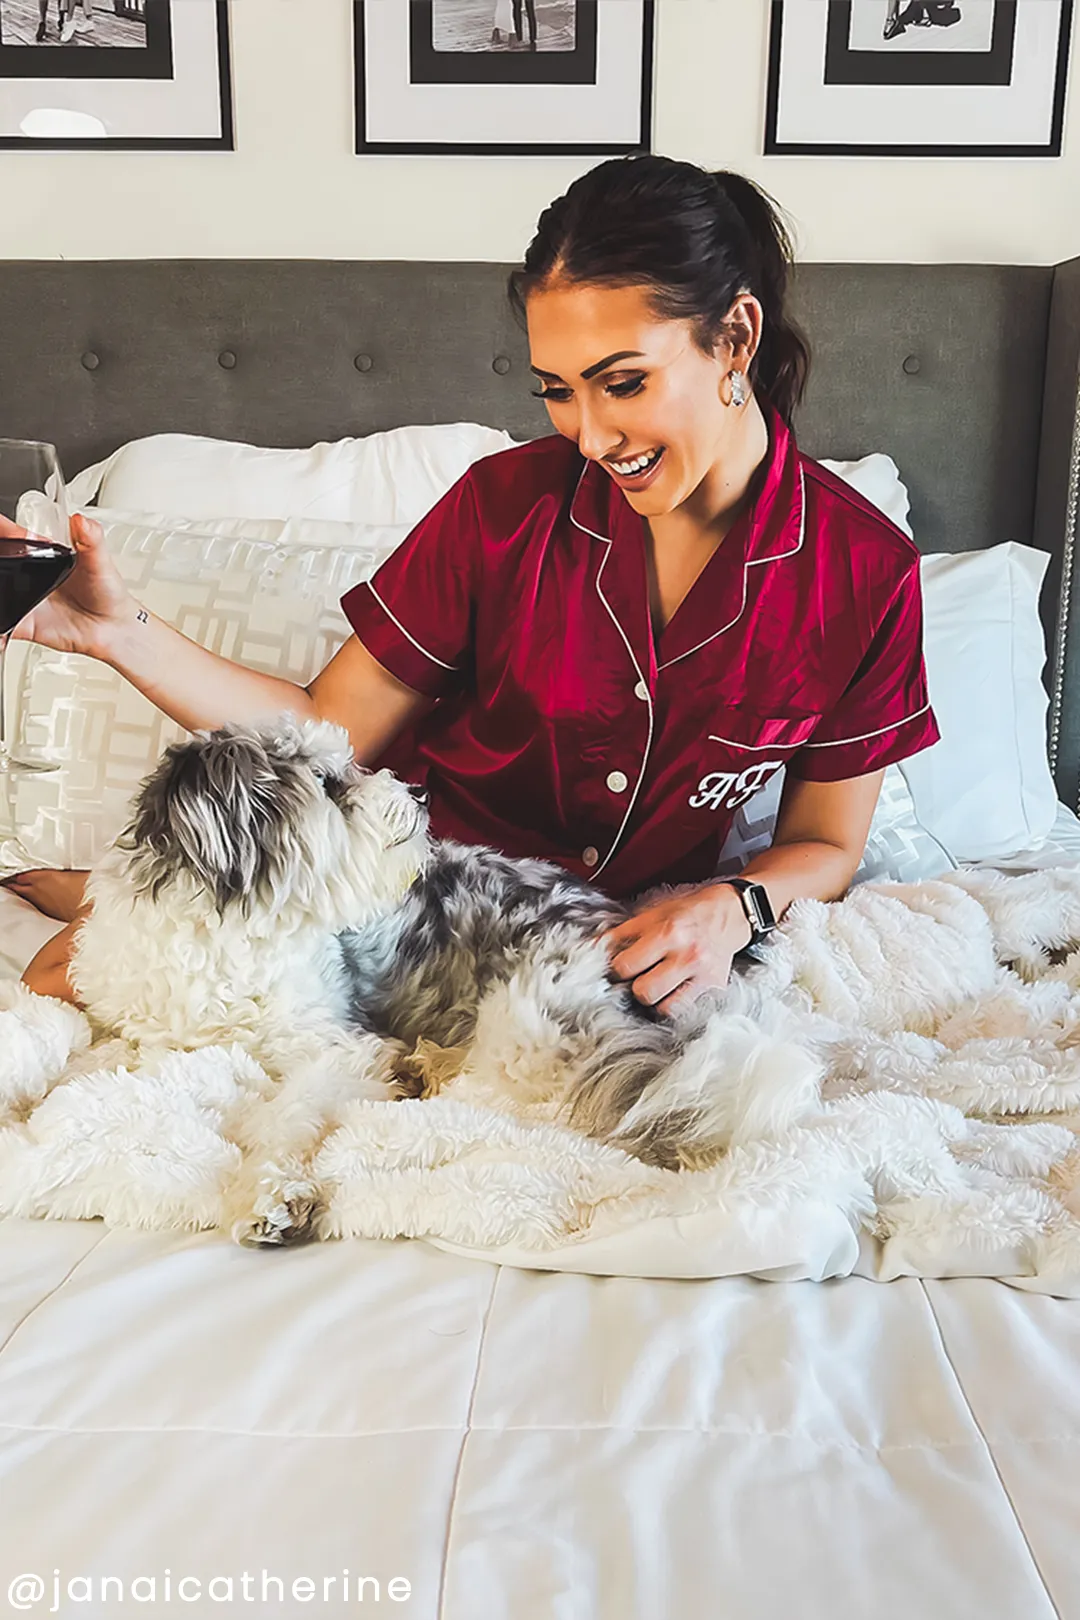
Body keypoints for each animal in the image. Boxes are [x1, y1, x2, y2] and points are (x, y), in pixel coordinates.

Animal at [69, 719, 819, 1237]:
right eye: (330, 784)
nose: (416, 788)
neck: (236, 934)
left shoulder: (339, 1049)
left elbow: (286, 1118)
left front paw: (275, 1195)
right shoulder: (149, 1037)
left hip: (527, 1020)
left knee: (542, 1105)